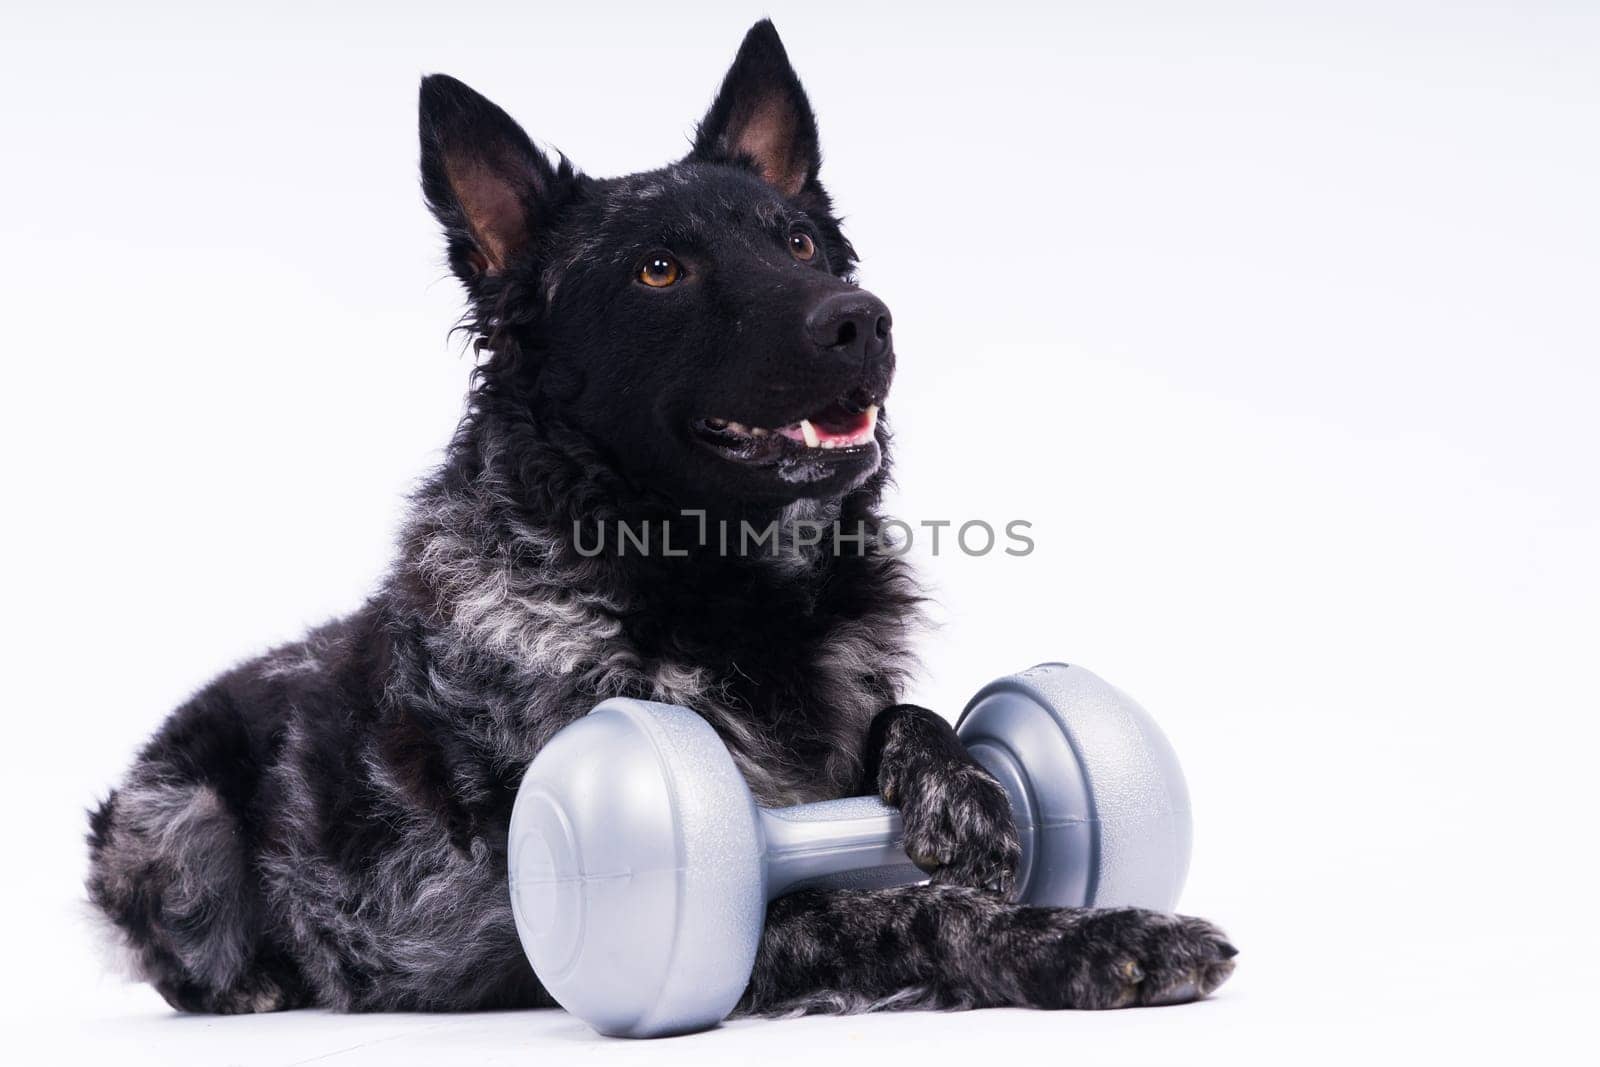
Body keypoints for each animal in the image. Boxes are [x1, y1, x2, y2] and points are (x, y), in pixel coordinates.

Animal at [84, 18, 1235, 1017]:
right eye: (660, 269)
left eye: (802, 243)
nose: (863, 321)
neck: (720, 587)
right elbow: (897, 911)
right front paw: (1093, 936)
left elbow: (906, 714)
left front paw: (962, 786)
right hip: (177, 821)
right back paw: (256, 982)